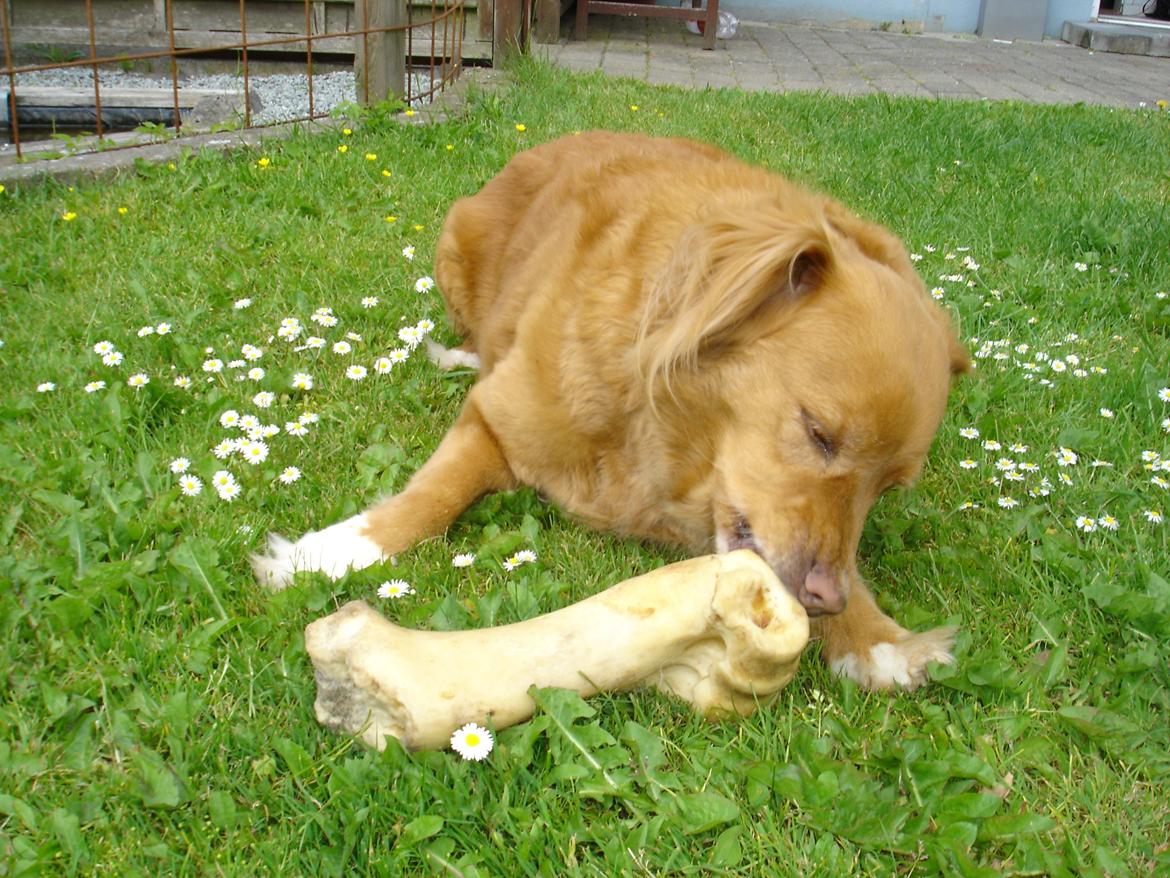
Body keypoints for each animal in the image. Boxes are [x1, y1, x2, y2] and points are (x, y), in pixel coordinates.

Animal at [256, 130, 968, 693]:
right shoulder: (499, 416)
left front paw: (875, 636)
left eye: (887, 488)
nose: (827, 602)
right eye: (818, 434)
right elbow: (435, 495)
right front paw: (332, 550)